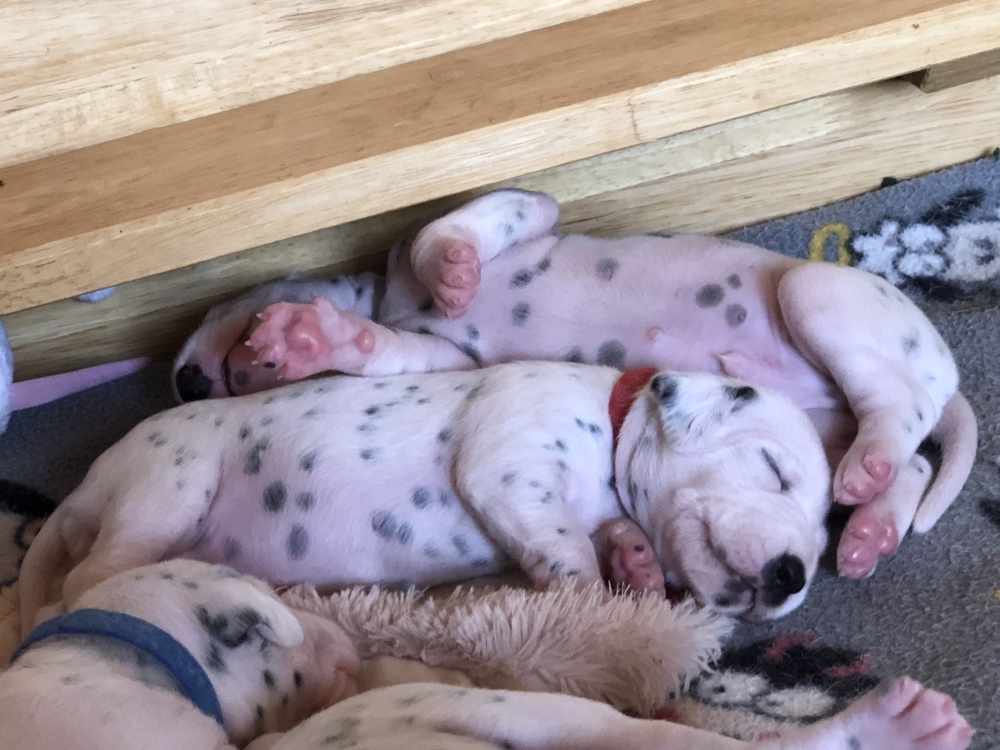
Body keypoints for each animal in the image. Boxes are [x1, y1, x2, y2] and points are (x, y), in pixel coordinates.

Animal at [20, 361, 831, 633]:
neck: (611, 421)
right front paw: (589, 597)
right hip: (170, 486)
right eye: (773, 469)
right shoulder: (509, 462)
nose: (794, 576)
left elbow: (608, 535)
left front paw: (634, 564)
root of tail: (84, 488)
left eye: (822, 546)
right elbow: (562, 543)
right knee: (85, 582)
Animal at [174, 189, 977, 580]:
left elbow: (459, 224)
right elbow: (386, 349)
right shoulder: (442, 355)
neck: (388, 298)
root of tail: (945, 366)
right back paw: (869, 528)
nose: (182, 380)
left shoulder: (510, 214)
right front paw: (316, 342)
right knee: (912, 460)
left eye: (217, 314)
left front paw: (451, 269)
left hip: (813, 293)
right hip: (824, 423)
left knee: (901, 412)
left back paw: (871, 474)